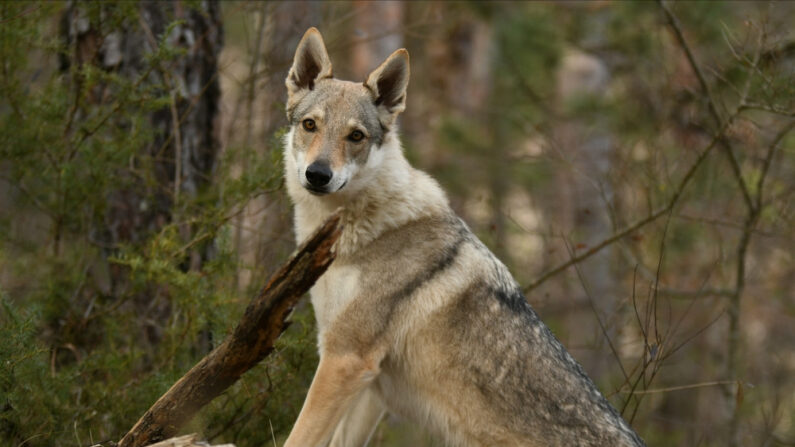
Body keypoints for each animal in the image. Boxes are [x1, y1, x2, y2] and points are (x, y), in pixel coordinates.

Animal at [280, 28, 648, 447]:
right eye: (310, 125)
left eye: (355, 136)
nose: (318, 174)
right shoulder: (368, 384)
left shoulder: (345, 359)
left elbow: (297, 438)